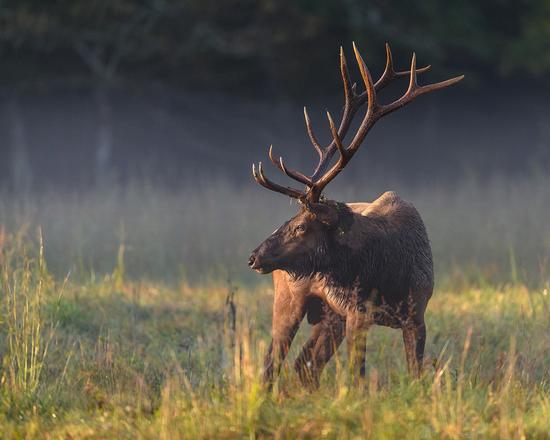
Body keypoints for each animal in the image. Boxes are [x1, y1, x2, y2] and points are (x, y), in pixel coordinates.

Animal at [251, 43, 466, 388]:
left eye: (300, 227)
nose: (254, 256)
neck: (387, 274)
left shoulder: (416, 314)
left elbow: (414, 375)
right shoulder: (358, 313)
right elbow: (357, 378)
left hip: (329, 317)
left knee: (304, 366)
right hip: (289, 299)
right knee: (273, 361)